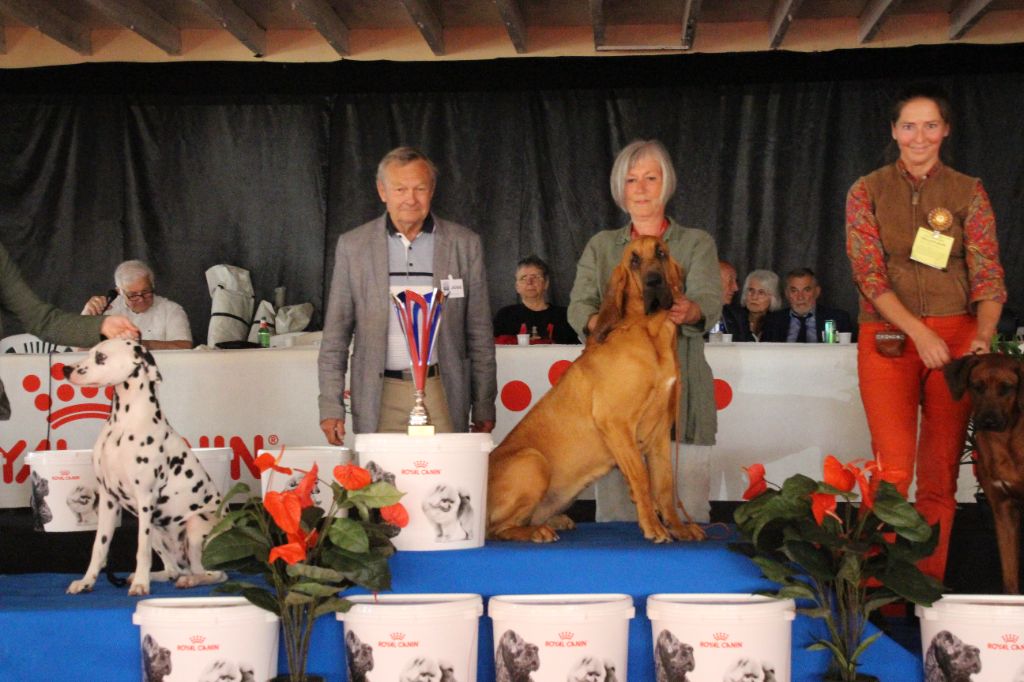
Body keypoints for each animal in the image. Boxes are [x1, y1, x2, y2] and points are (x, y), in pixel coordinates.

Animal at [63, 337, 226, 593]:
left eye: (101, 357)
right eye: (89, 352)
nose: (65, 369)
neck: (123, 423)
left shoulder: (145, 498)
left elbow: (141, 550)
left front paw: (141, 584)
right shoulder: (108, 499)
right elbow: (99, 547)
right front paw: (86, 581)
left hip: (196, 525)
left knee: (214, 574)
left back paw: (190, 580)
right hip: (157, 531)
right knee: (173, 570)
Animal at [485, 235, 704, 540]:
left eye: (661, 253)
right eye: (634, 260)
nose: (653, 281)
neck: (650, 332)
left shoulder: (660, 433)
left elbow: (664, 484)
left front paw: (678, 527)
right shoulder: (616, 423)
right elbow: (642, 478)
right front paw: (654, 527)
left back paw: (554, 521)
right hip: (532, 461)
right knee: (496, 529)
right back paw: (537, 532)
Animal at [942, 352, 1024, 593]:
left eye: (1006, 388)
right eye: (976, 386)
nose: (988, 421)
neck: (1005, 441)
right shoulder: (1003, 509)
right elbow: (1009, 575)